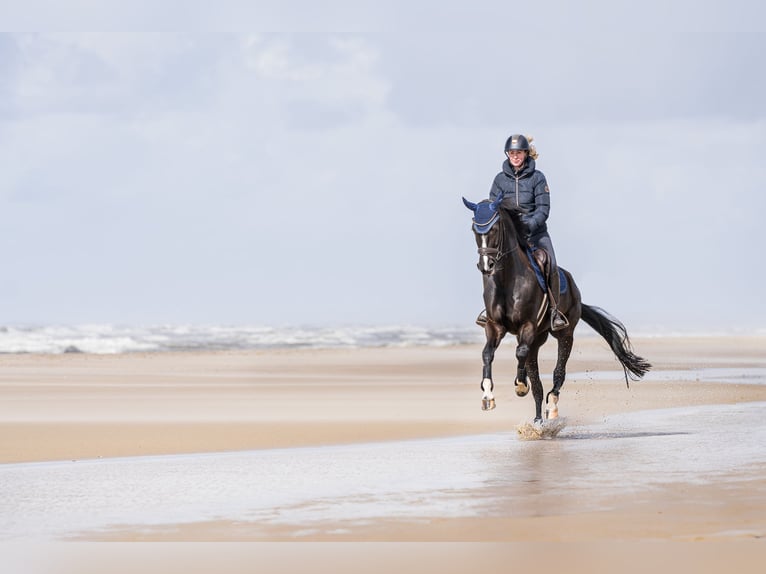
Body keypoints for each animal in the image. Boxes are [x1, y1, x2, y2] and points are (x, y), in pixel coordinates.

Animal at [462, 192, 651, 423]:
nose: (485, 265)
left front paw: (520, 385)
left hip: (565, 334)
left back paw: (551, 405)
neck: (508, 281)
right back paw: (537, 421)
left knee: (557, 371)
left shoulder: (528, 325)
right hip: (538, 339)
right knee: (537, 383)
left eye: (495, 228)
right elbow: (488, 354)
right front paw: (488, 396)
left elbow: (520, 353)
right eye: (474, 229)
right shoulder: (495, 326)